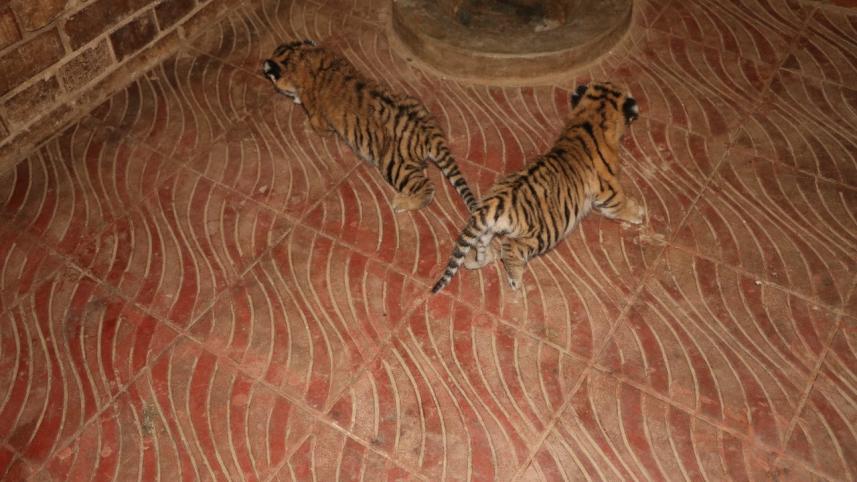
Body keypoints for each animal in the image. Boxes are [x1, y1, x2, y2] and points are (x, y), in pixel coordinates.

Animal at [262, 40, 478, 213]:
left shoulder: (318, 116)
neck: (303, 58)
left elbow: (317, 125)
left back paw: (401, 203)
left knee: (427, 187)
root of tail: (430, 133)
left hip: (395, 165)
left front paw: (305, 121)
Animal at [431, 82, 643, 294]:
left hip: (487, 230)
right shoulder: (607, 188)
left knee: (481, 245)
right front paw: (639, 213)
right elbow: (619, 203)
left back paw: (477, 261)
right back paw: (516, 281)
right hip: (545, 233)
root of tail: (494, 202)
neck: (592, 116)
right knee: (510, 248)